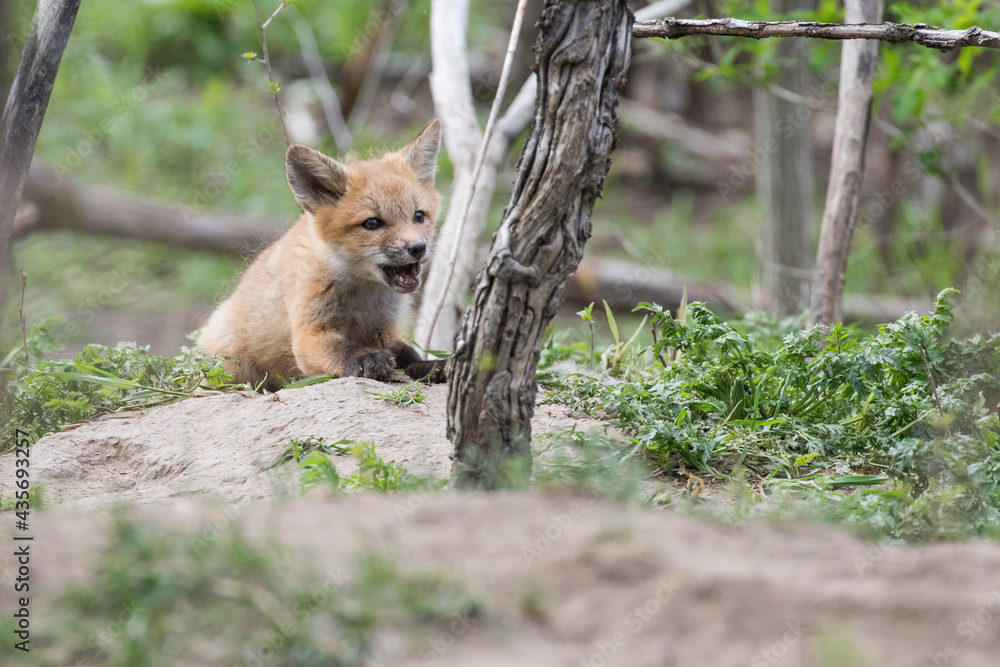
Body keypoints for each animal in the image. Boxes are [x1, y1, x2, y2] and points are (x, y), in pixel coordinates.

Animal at [197, 119, 446, 391]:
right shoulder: (309, 332)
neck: (363, 297)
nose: (418, 248)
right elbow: (342, 349)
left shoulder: (382, 327)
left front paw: (429, 366)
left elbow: (406, 353)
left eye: (419, 216)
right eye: (372, 223)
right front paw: (367, 359)